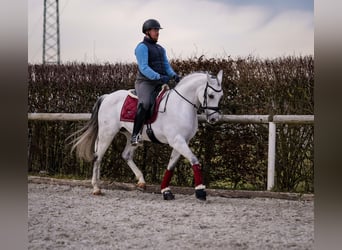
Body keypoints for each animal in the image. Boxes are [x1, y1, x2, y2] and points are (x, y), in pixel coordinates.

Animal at [69, 69, 224, 200]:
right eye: (210, 95)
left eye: (220, 96)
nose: (214, 119)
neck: (181, 105)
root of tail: (107, 97)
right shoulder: (177, 140)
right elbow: (194, 160)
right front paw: (200, 191)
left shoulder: (181, 141)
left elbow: (171, 166)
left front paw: (166, 191)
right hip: (107, 134)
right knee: (98, 157)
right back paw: (96, 188)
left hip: (131, 135)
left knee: (126, 155)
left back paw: (141, 181)